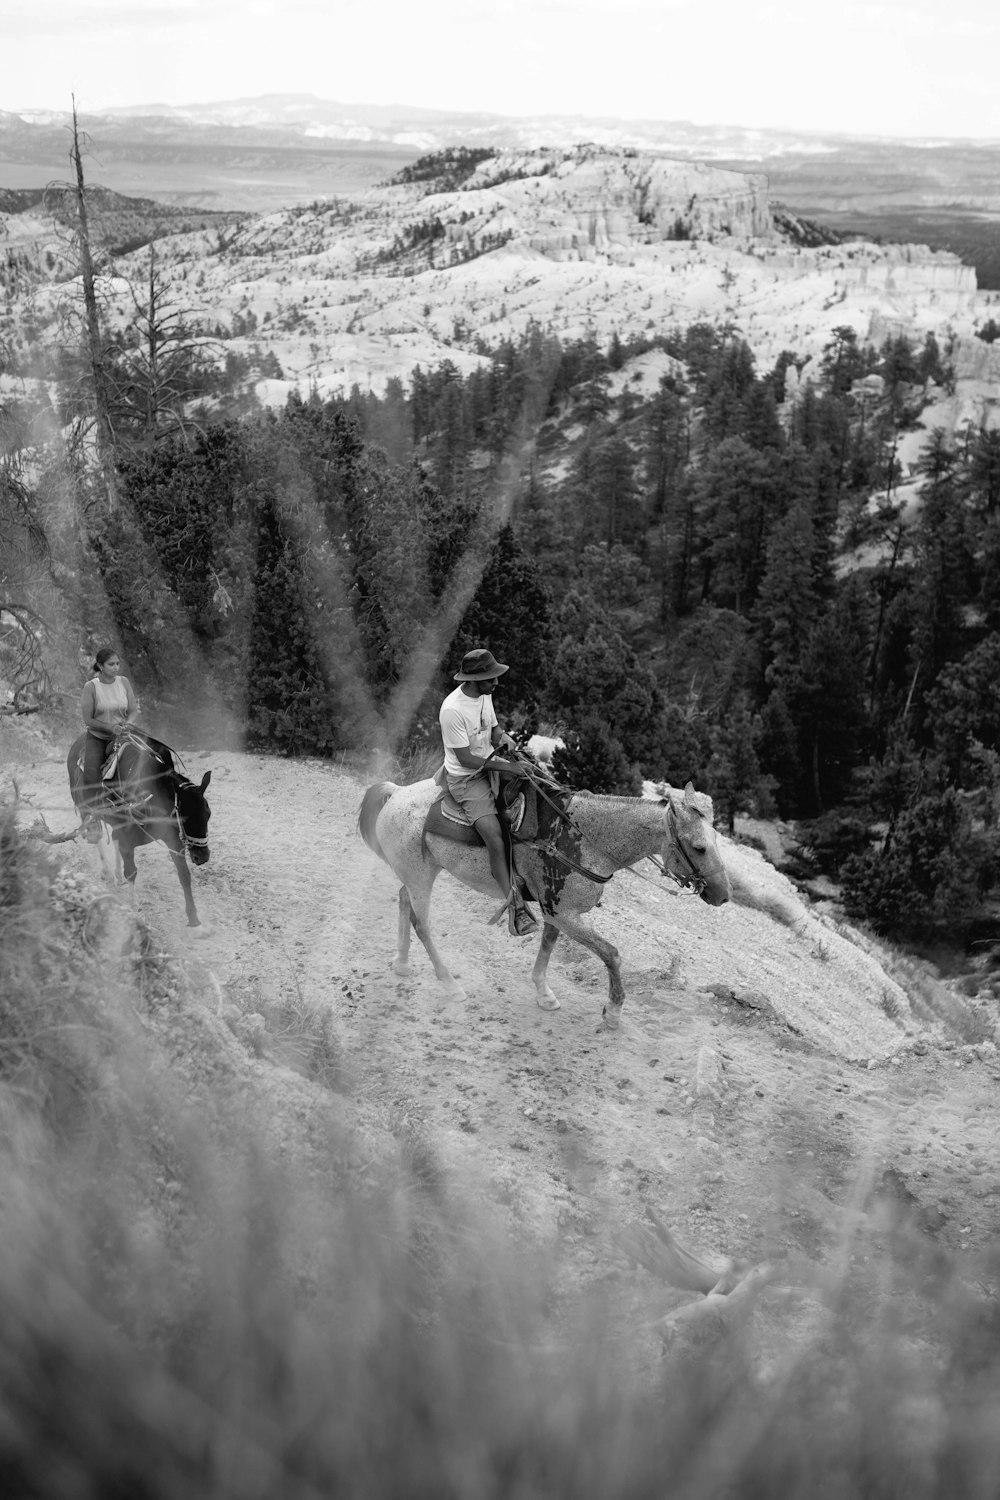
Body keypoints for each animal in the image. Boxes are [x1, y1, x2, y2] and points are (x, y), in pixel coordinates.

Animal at [69, 729, 214, 924]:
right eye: (184, 819)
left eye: (208, 814)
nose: (202, 856)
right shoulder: (126, 839)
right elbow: (131, 871)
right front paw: (133, 907)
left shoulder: (172, 840)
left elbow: (184, 874)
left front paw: (193, 918)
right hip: (85, 809)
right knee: (96, 835)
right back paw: (108, 873)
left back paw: (116, 875)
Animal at [355, 780, 731, 1026]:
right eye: (699, 847)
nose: (723, 894)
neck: (583, 839)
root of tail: (396, 792)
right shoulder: (566, 914)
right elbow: (611, 953)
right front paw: (614, 1010)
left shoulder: (557, 913)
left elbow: (548, 945)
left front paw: (543, 992)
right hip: (420, 877)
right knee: (422, 924)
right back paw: (449, 983)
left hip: (420, 873)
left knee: (403, 901)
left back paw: (402, 962)